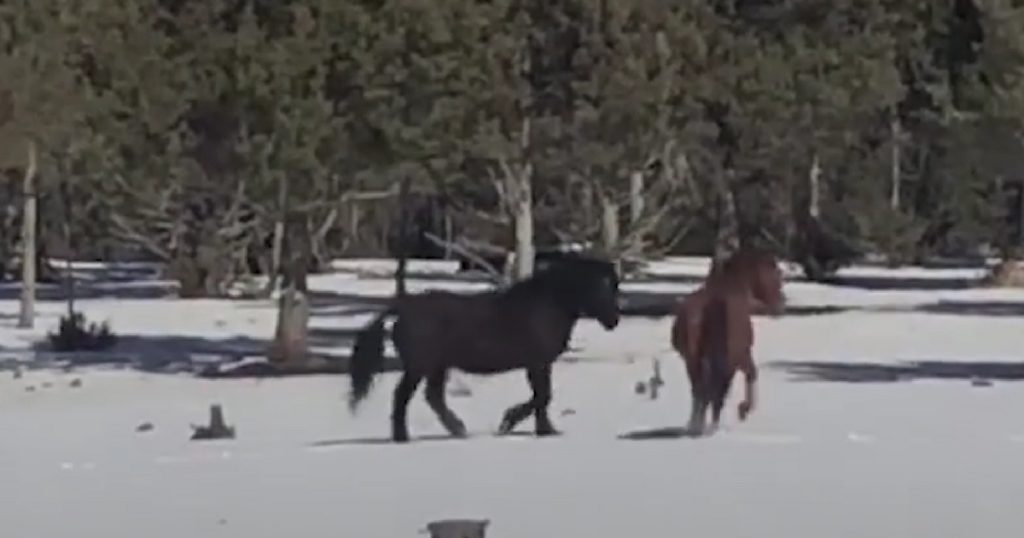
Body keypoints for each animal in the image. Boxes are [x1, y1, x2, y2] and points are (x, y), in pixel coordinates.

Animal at [346, 254, 622, 443]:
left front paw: (544, 430)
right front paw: (511, 423)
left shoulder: (539, 364)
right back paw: (403, 436)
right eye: (599, 285)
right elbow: (543, 396)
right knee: (403, 397)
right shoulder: (537, 363)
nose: (614, 321)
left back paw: (458, 430)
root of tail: (402, 308)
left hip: (437, 366)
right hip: (419, 366)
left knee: (433, 397)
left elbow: (542, 397)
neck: (546, 305)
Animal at [669, 245, 786, 436]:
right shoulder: (743, 355)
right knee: (717, 391)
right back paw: (712, 426)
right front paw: (744, 409)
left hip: (693, 361)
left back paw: (696, 425)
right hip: (730, 360)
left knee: (700, 390)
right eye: (777, 275)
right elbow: (752, 374)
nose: (781, 304)